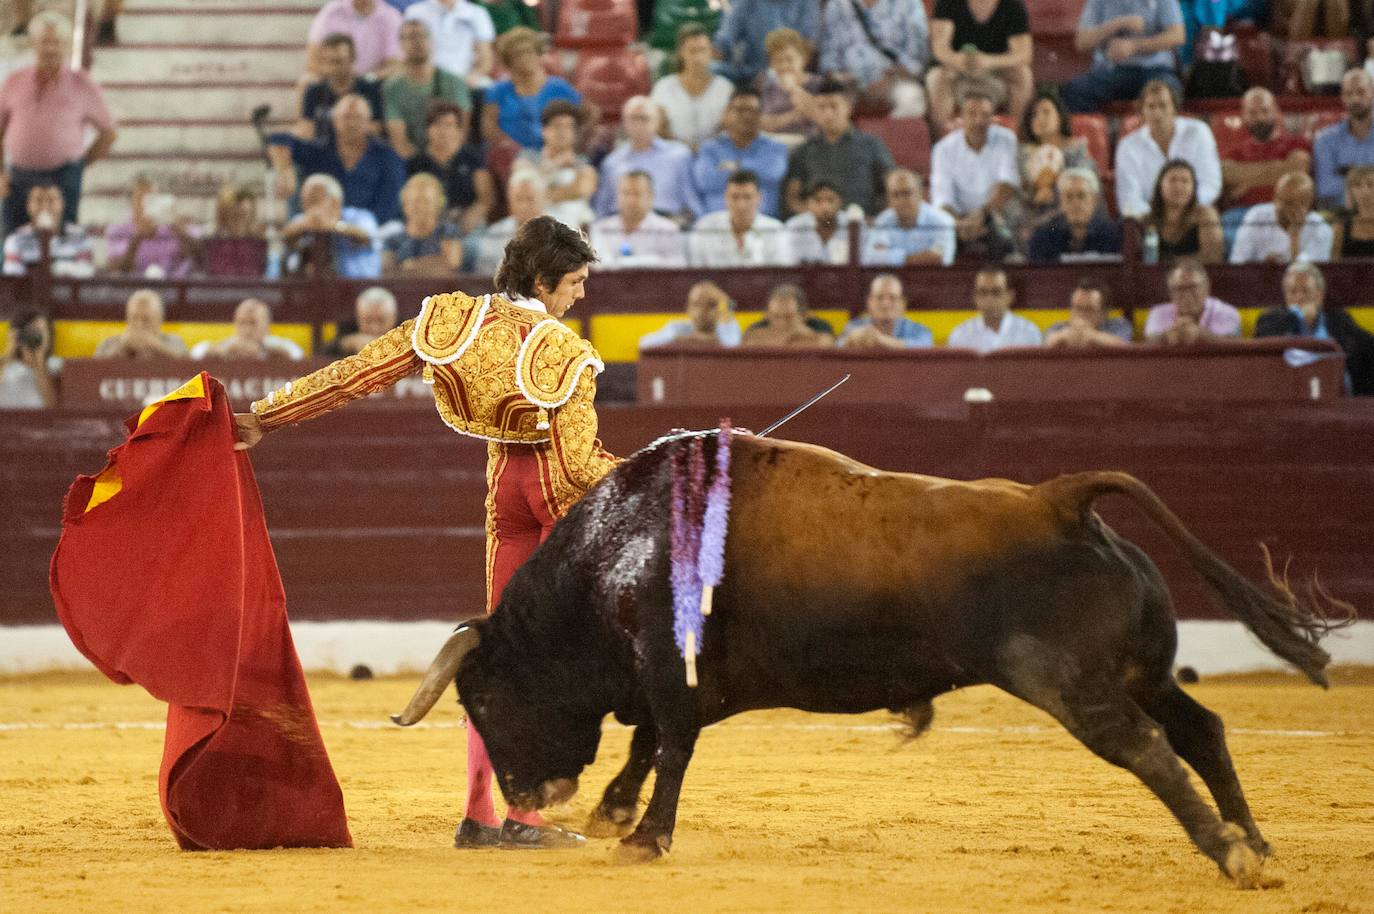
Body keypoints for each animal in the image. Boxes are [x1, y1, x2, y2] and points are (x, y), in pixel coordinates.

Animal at [392, 431, 1346, 879]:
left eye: (487, 699)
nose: (528, 795)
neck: (617, 547)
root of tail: (1056, 500)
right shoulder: (679, 678)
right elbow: (649, 741)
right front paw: (615, 814)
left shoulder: (670, 668)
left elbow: (668, 745)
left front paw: (644, 837)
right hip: (1140, 670)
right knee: (1202, 728)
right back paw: (1255, 842)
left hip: (1071, 684)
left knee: (1148, 748)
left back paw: (1228, 855)